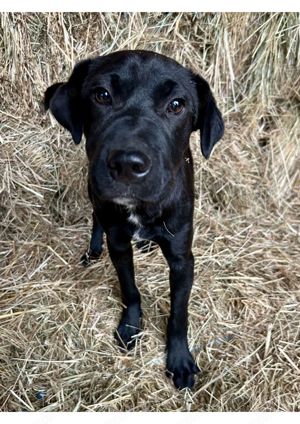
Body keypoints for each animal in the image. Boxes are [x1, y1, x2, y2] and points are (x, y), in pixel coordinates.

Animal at [43, 50, 224, 390]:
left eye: (176, 105)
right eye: (101, 95)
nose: (127, 164)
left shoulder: (182, 257)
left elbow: (179, 313)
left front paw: (179, 359)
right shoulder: (118, 244)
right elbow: (130, 290)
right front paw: (130, 326)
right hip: (93, 191)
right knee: (96, 217)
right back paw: (92, 249)